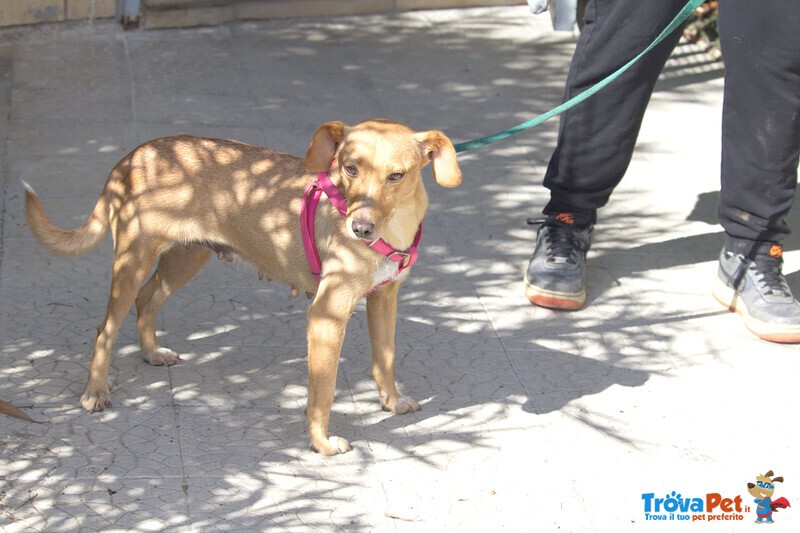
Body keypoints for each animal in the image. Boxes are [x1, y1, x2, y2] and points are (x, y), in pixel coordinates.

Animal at [23, 119, 462, 454]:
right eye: (350, 169)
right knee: (105, 329)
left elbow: (384, 359)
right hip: (133, 260)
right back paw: (95, 391)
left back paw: (151, 352)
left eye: (396, 176)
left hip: (185, 258)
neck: (393, 227)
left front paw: (391, 401)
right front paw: (321, 443)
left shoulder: (385, 298)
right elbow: (323, 391)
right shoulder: (327, 314)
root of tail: (133, 156)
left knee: (147, 300)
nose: (360, 229)